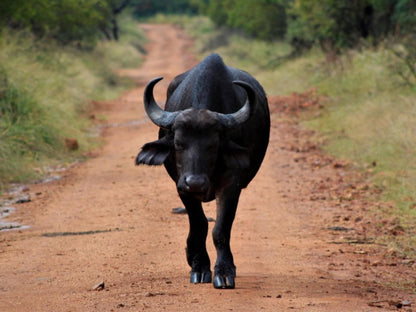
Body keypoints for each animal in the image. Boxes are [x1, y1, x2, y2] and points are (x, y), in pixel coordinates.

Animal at [136, 52, 270, 288]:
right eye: (179, 143)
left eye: (213, 145)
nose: (195, 182)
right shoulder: (181, 186)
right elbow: (199, 224)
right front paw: (199, 267)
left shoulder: (231, 184)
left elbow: (221, 229)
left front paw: (224, 272)